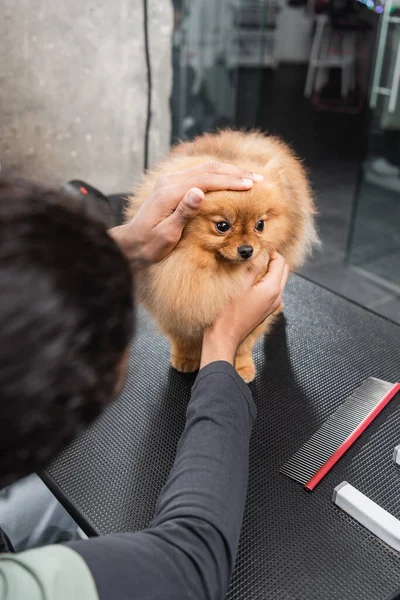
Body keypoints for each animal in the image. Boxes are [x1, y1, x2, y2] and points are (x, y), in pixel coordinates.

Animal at [126, 132, 320, 384]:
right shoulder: (174, 304)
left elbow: (244, 343)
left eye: (260, 225)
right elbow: (183, 338)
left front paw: (242, 367)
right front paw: (185, 359)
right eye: (222, 226)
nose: (247, 250)